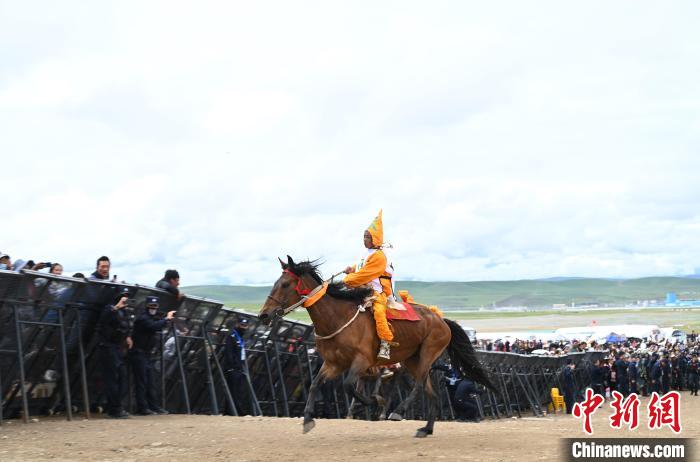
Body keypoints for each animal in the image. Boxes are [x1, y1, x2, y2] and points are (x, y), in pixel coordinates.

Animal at [258, 258, 492, 438]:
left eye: (286, 284)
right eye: (276, 282)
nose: (264, 315)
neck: (337, 318)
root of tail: (442, 320)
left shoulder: (361, 361)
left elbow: (350, 386)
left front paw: (376, 401)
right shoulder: (333, 364)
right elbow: (315, 384)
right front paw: (307, 419)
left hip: (428, 353)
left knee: (418, 386)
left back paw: (398, 412)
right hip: (412, 360)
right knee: (432, 395)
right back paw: (426, 429)